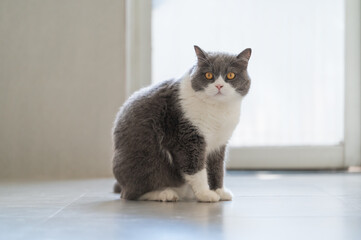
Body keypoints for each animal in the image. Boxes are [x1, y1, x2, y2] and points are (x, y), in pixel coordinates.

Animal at [112, 45, 250, 202]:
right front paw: (205, 194)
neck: (218, 110)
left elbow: (217, 168)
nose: (219, 86)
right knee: (131, 194)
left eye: (231, 75)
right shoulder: (186, 137)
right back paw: (164, 193)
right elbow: (196, 168)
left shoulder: (219, 143)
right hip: (147, 160)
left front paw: (219, 191)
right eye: (209, 75)